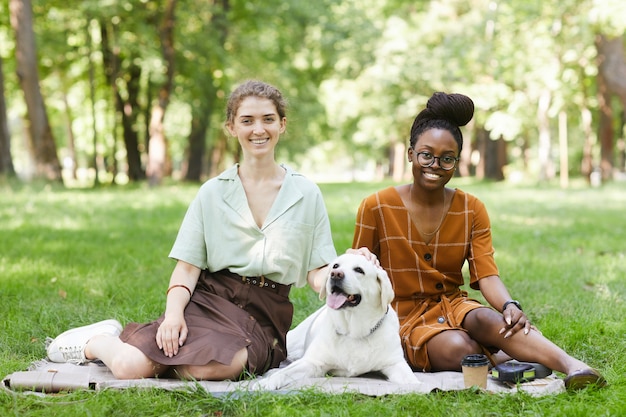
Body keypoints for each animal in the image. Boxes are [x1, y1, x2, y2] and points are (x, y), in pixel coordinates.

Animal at [254, 254, 420, 390]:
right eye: (335, 266)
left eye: (359, 270)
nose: (335, 274)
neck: (353, 331)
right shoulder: (312, 362)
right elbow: (285, 373)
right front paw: (266, 383)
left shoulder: (395, 363)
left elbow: (412, 381)